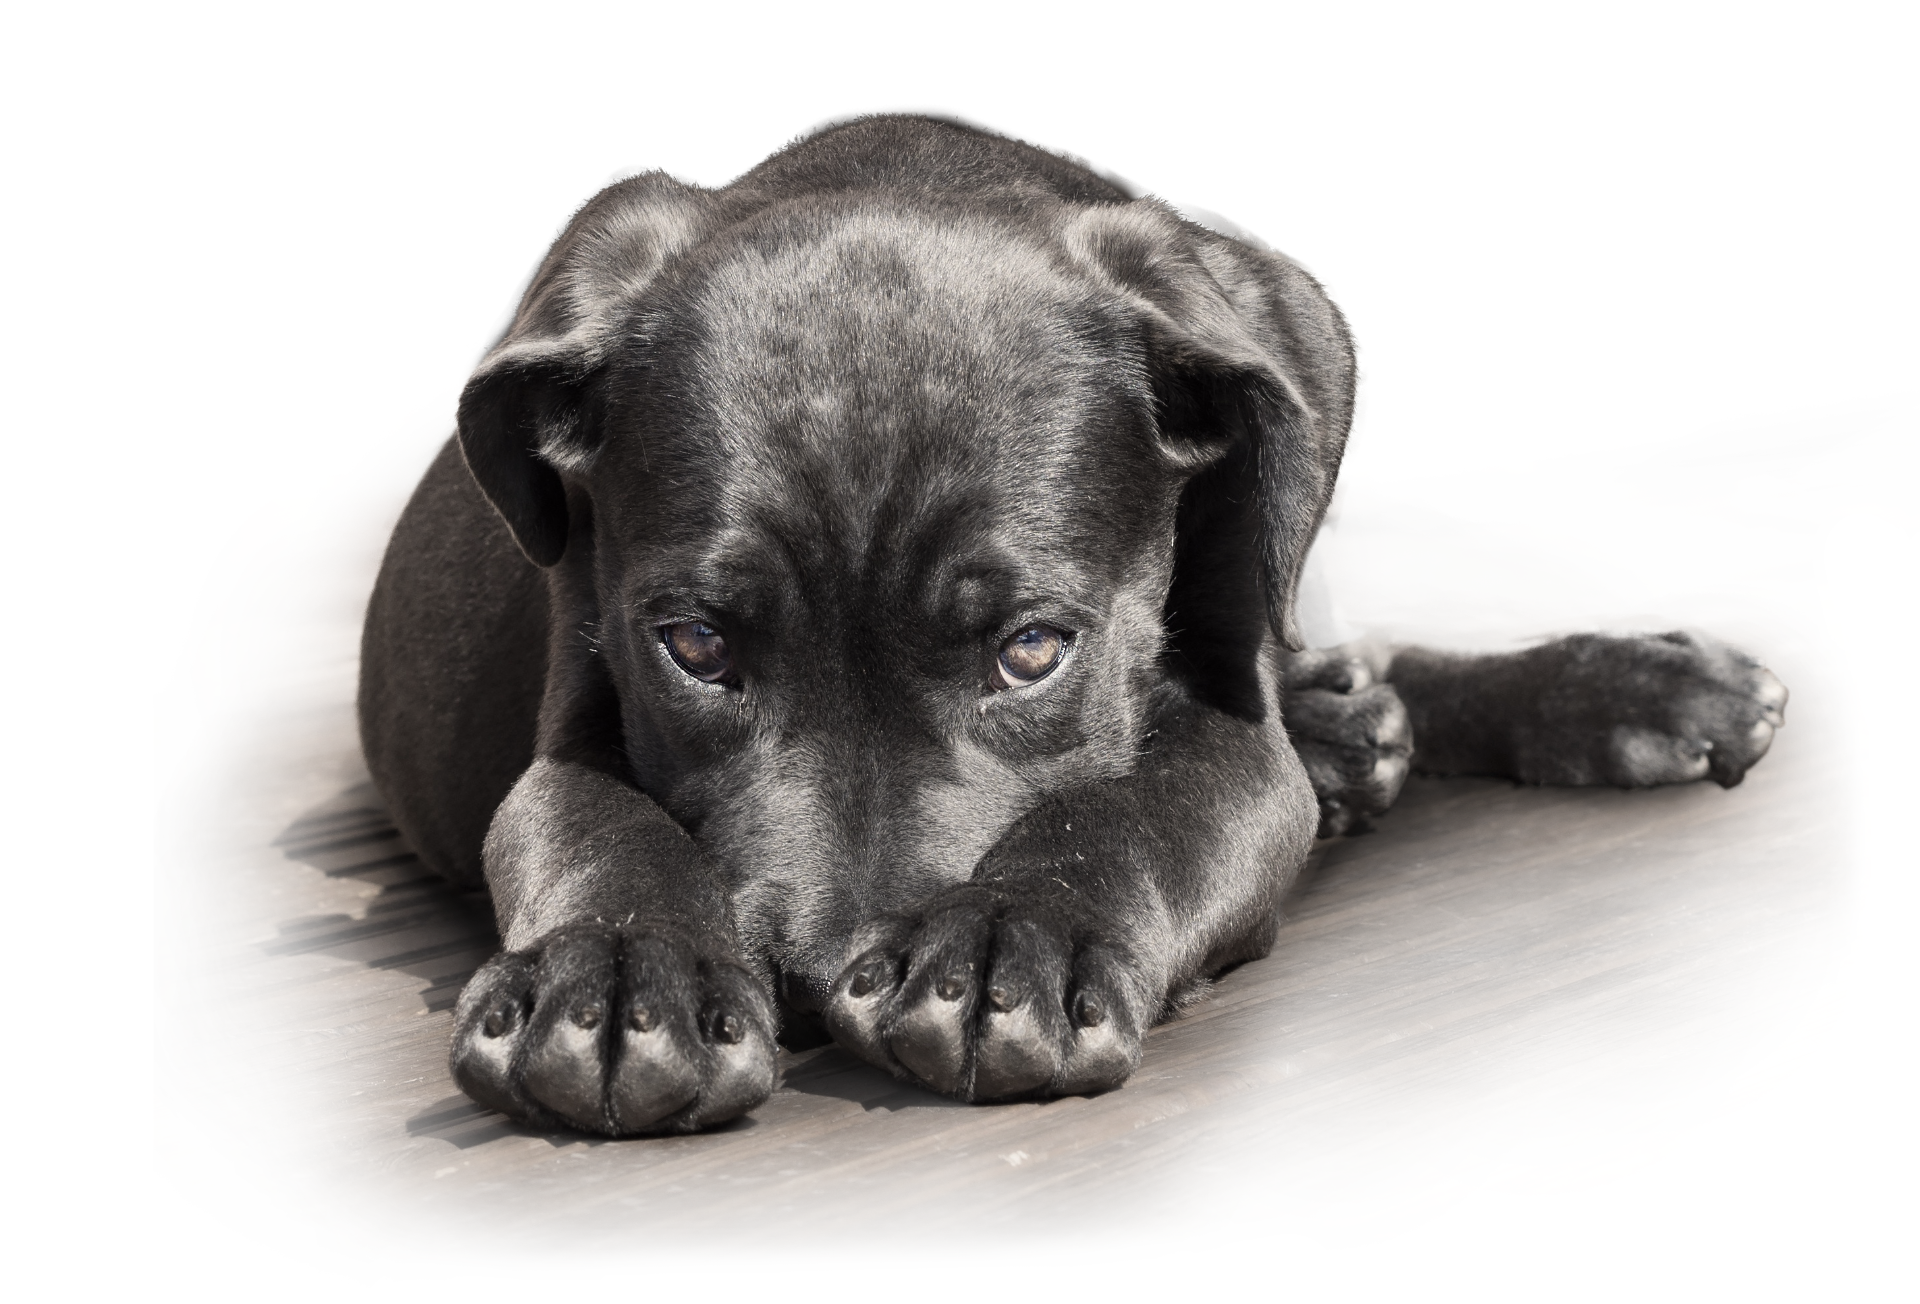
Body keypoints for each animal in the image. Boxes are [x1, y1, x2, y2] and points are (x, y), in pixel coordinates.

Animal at [359, 107, 1788, 1137]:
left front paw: (1011, 939)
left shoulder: (1227, 722)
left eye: (1032, 649)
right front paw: (614, 975)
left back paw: (1619, 687)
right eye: (696, 648)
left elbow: (1140, 804)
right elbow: (590, 819)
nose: (817, 985)